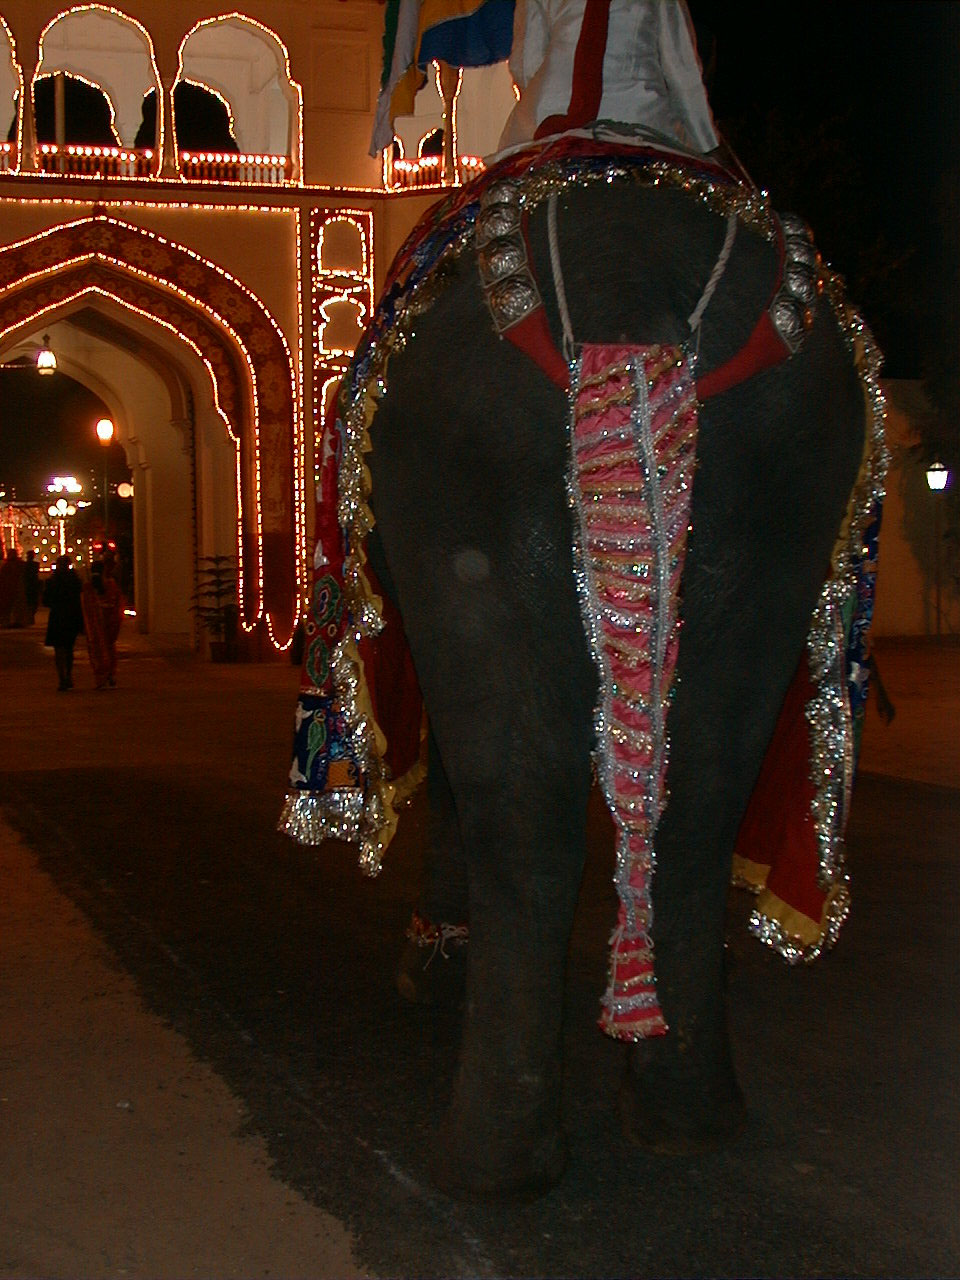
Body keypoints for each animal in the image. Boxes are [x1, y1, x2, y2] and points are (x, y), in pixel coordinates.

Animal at [284, 135, 885, 1203]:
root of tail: (640, 305)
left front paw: (431, 961)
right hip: (782, 487)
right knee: (699, 797)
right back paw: (687, 1118)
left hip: (467, 468)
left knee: (518, 802)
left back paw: (486, 1160)